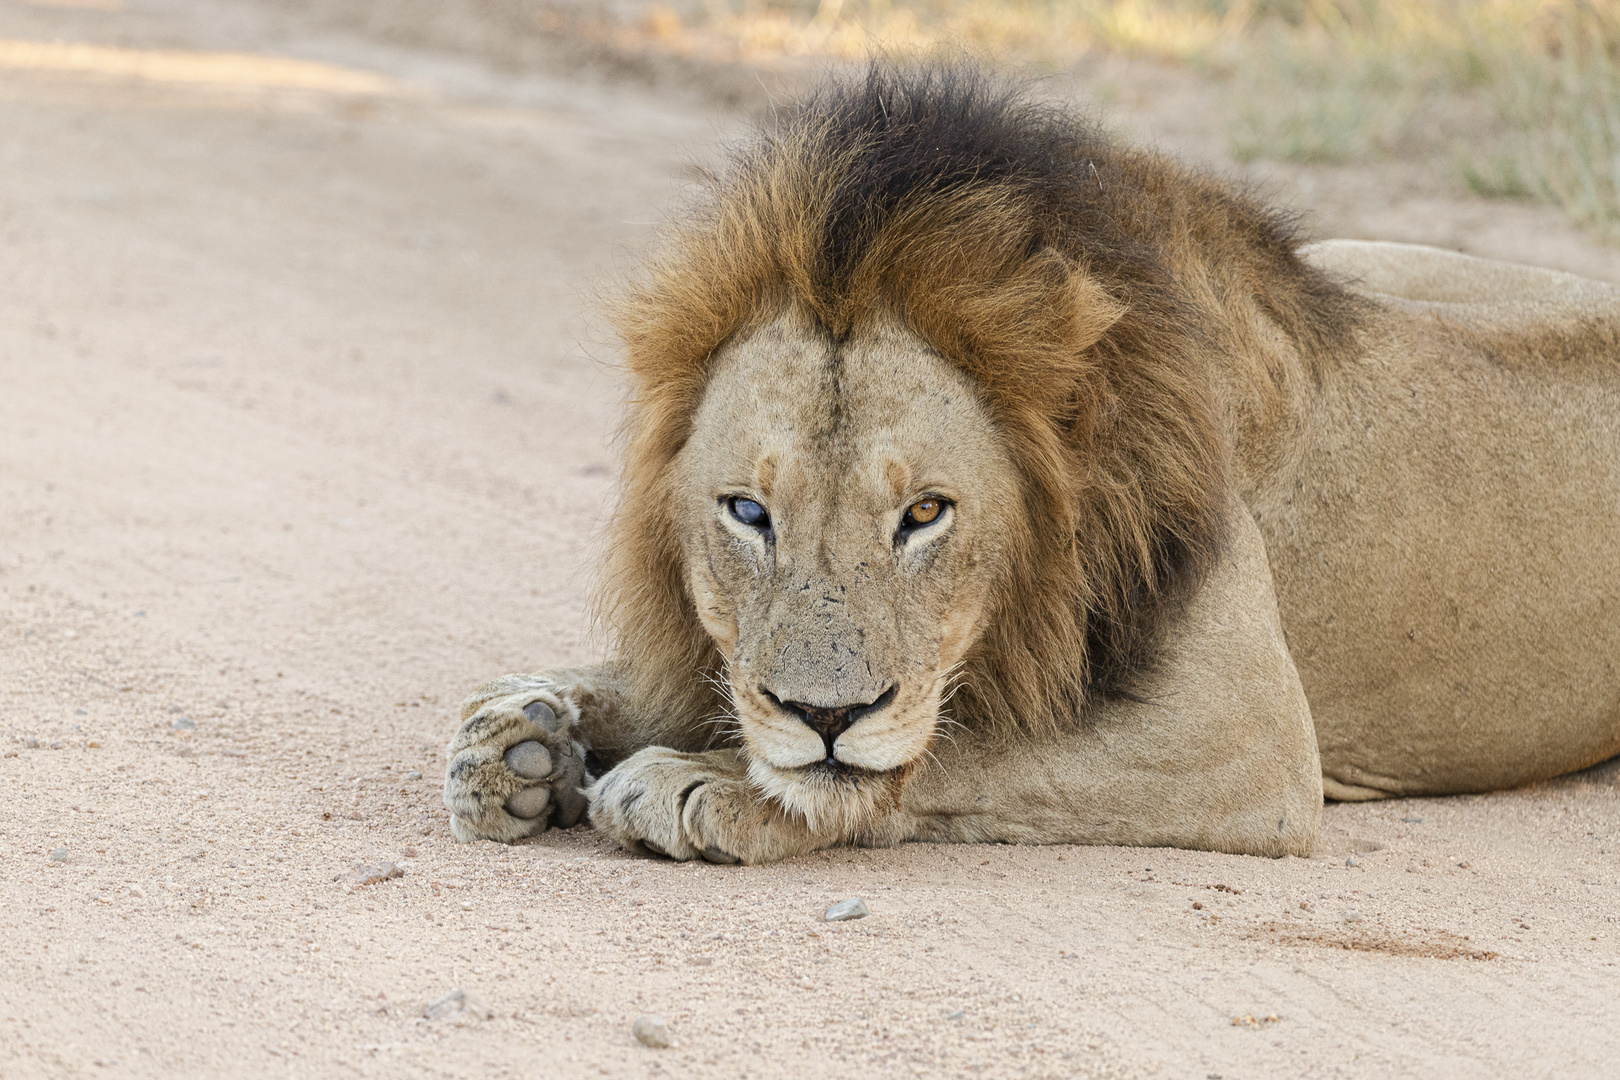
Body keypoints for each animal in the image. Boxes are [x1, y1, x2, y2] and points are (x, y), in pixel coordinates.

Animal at [440, 65, 1620, 861]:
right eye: (747, 512)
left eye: (925, 514)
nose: (825, 718)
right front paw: (527, 737)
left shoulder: (1250, 743)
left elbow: (956, 751)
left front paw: (705, 786)